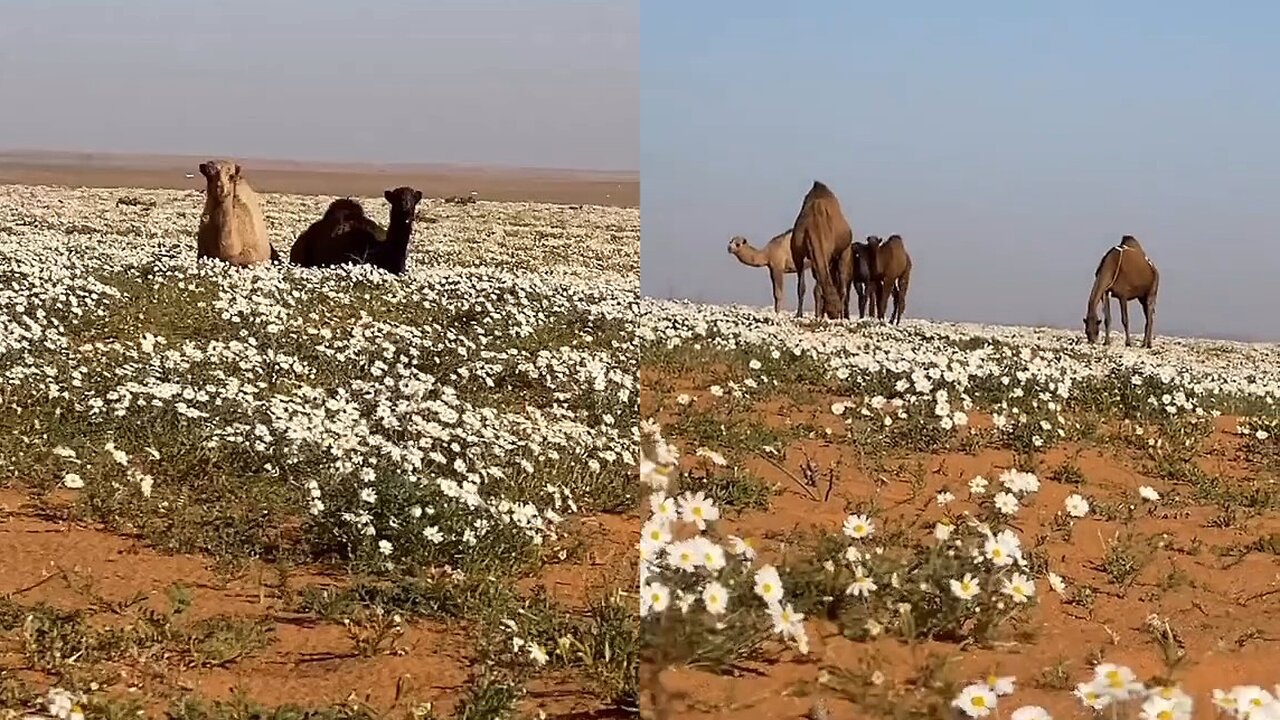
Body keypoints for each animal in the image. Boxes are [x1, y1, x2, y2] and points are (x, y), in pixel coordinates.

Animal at [788, 178, 849, 316]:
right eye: (832, 309)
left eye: (836, 309)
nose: (835, 315)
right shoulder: (797, 254)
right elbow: (802, 287)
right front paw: (799, 314)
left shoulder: (827, 253)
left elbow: (817, 288)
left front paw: (817, 315)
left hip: (844, 251)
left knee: (842, 283)